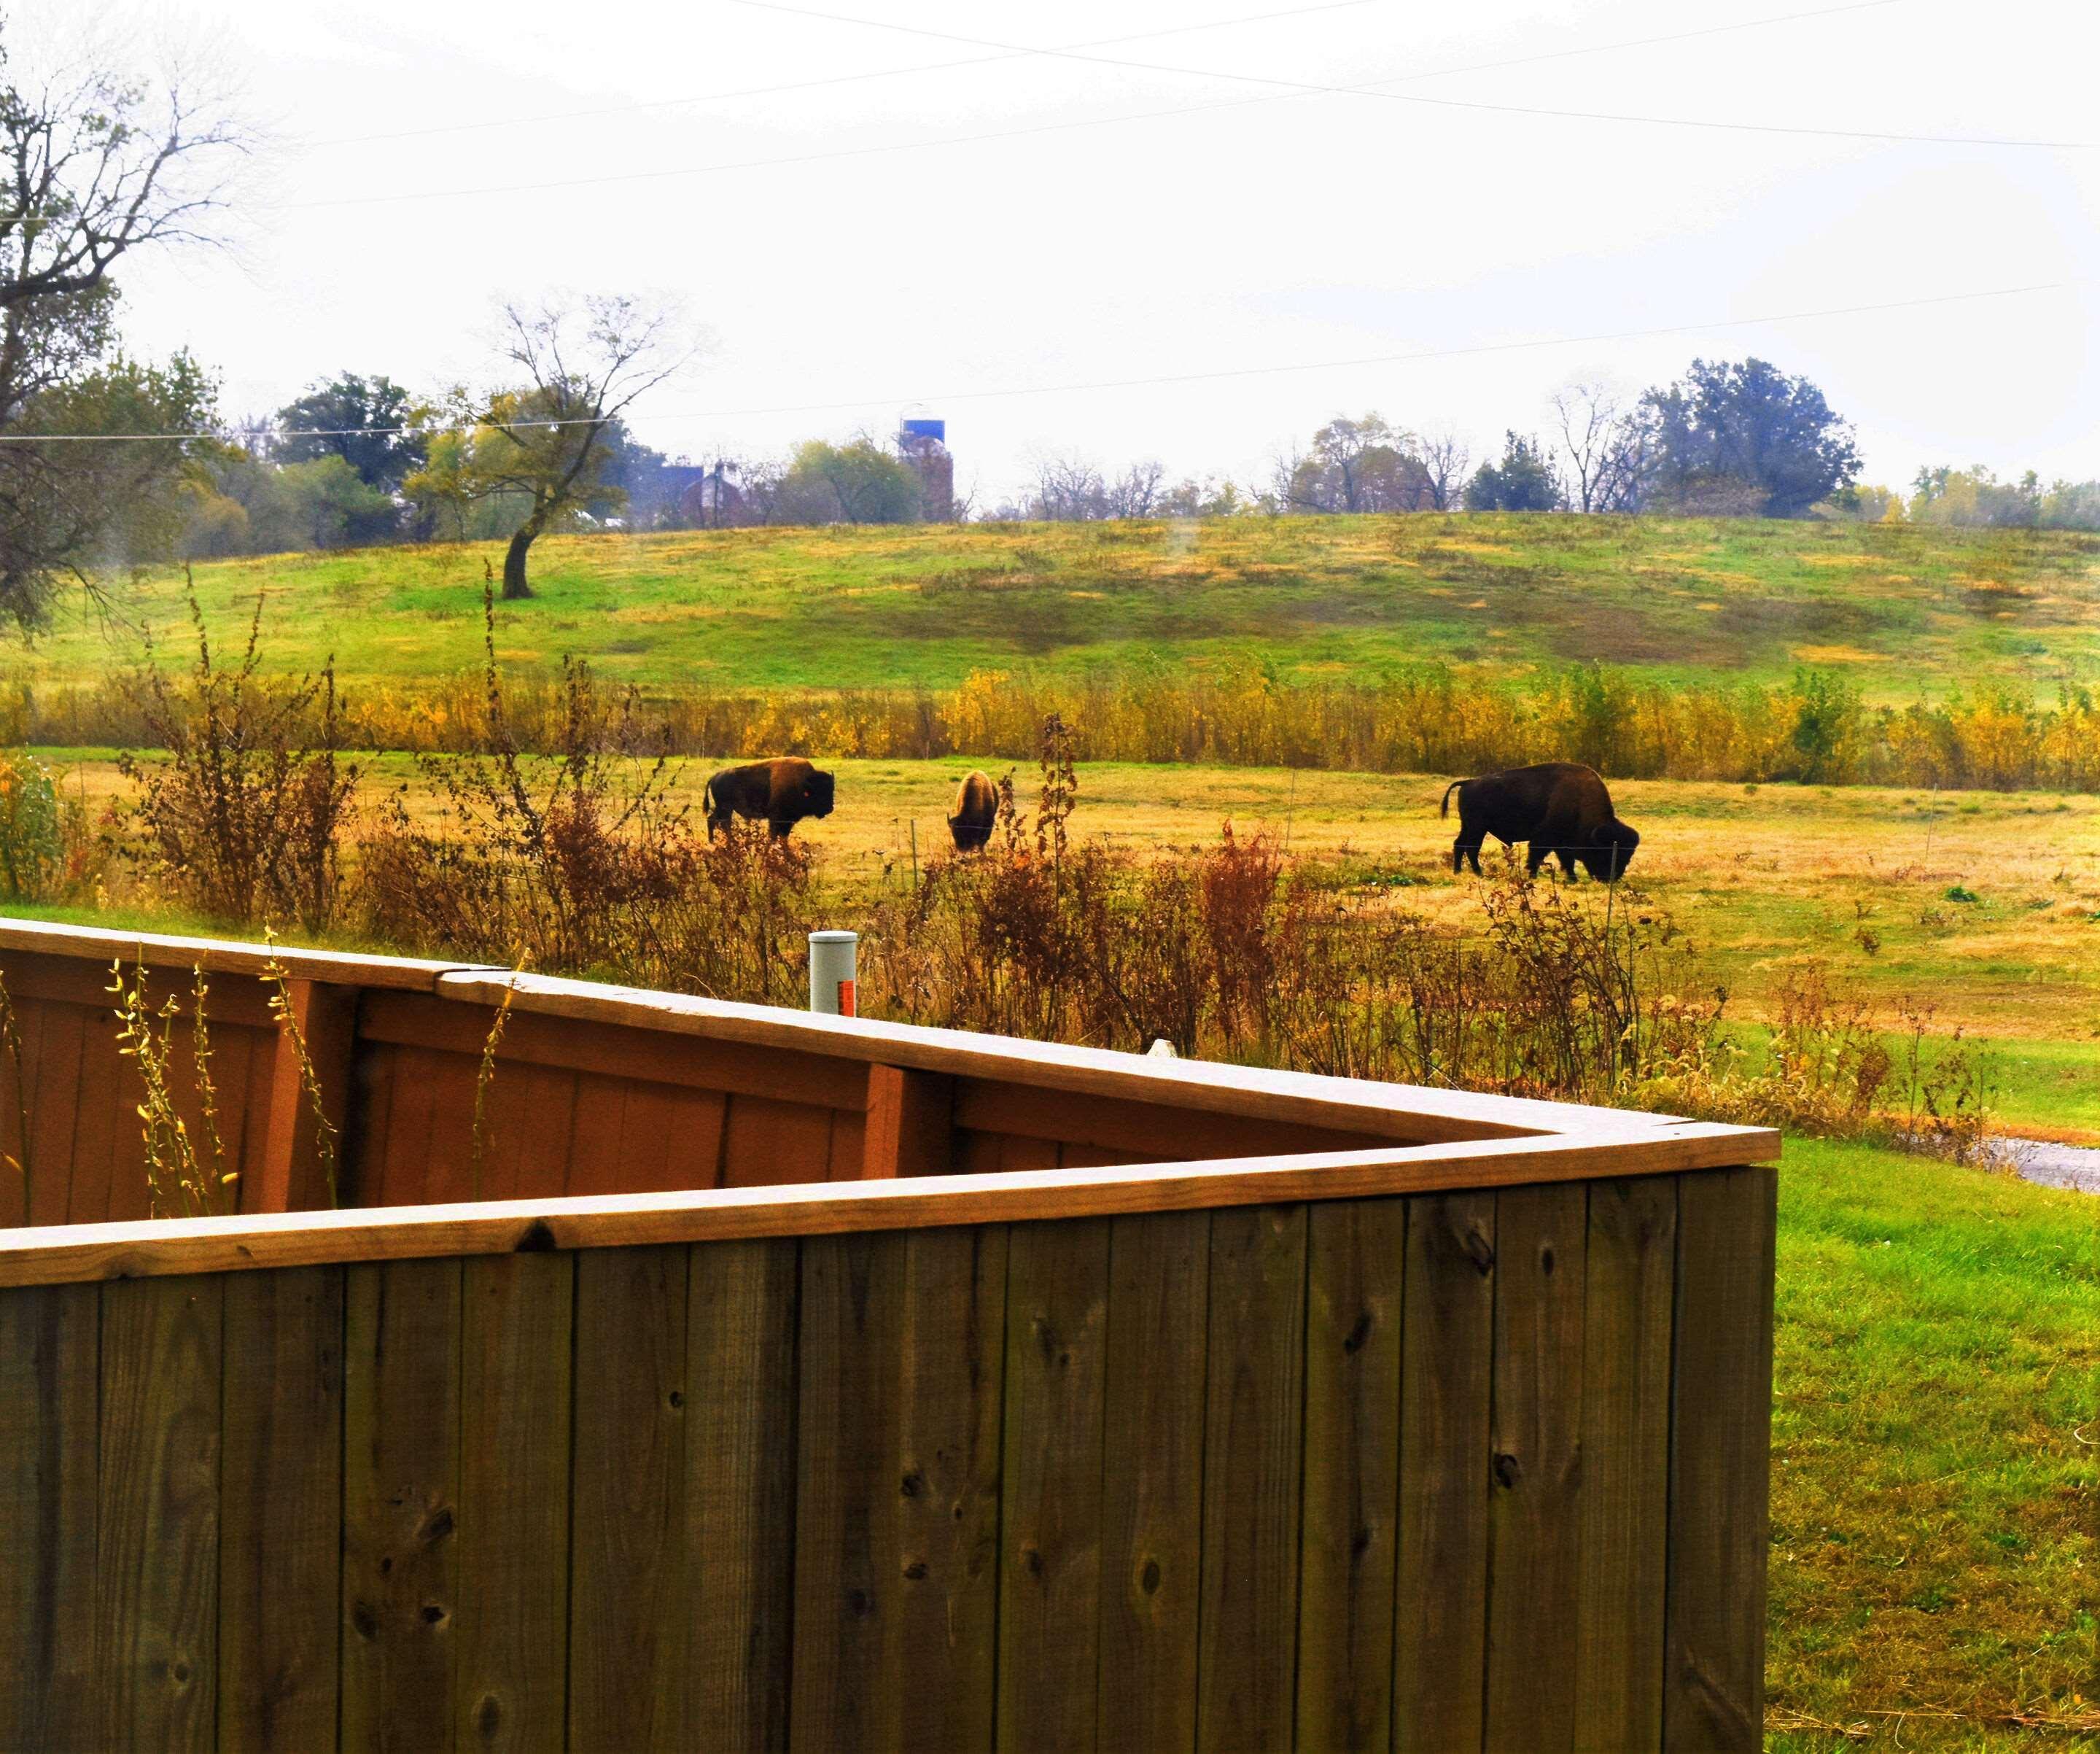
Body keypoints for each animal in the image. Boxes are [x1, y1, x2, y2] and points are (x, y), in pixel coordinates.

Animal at [705, 756, 836, 840]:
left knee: (712, 820)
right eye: (819, 793)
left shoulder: (788, 821)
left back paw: (713, 843)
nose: (830, 809)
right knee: (725, 825)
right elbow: (773, 837)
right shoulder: (776, 819)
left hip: (721, 808)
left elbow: (783, 838)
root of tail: (715, 777)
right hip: (726, 809)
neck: (800, 784)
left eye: (831, 790)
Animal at [1444, 760, 1638, 886]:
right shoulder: (1545, 838)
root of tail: (1468, 782)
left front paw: (1572, 879)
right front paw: (1533, 875)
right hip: (1477, 828)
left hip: (1468, 826)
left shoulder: (1561, 843)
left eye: (1628, 858)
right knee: (1472, 848)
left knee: (1459, 845)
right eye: (1605, 853)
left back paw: (1458, 871)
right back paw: (1478, 873)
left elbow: (1566, 860)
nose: (1610, 878)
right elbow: (1538, 855)